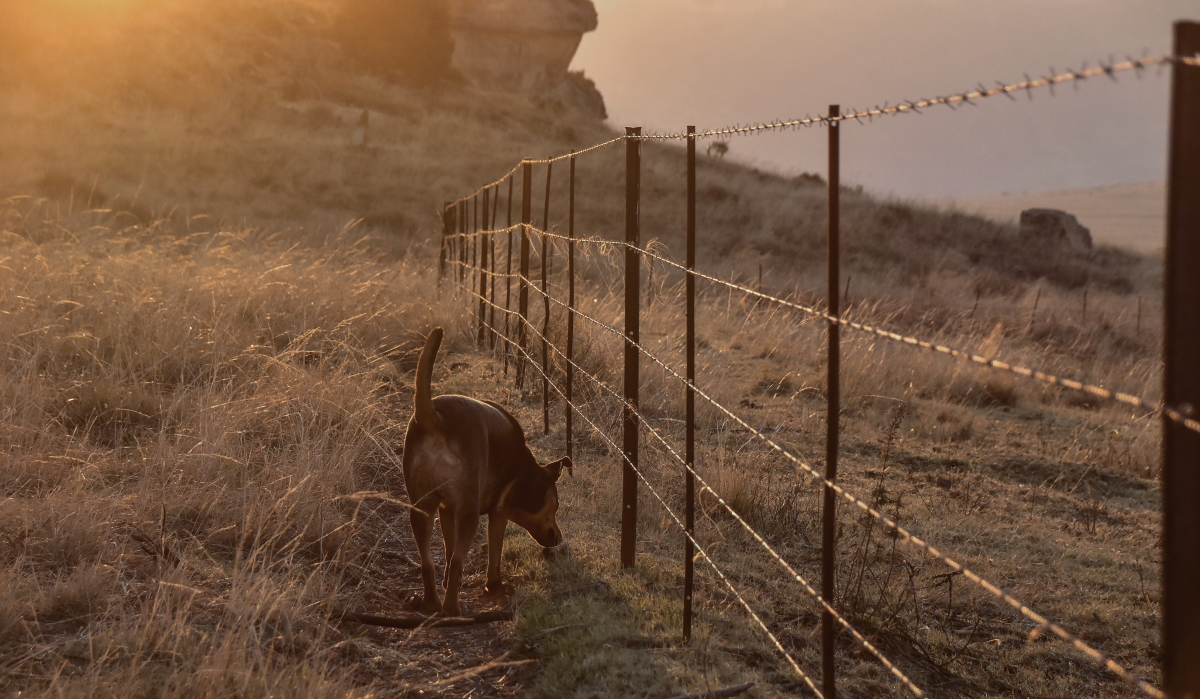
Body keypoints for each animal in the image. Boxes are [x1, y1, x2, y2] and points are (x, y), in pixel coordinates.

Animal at [400, 329, 568, 619]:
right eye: (555, 506)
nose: (558, 538)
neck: (527, 471)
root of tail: (435, 418)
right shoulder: (499, 510)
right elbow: (493, 553)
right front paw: (494, 585)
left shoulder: (447, 510)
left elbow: (448, 551)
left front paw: (449, 581)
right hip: (468, 514)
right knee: (458, 561)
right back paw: (451, 609)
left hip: (421, 509)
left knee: (428, 563)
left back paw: (432, 602)